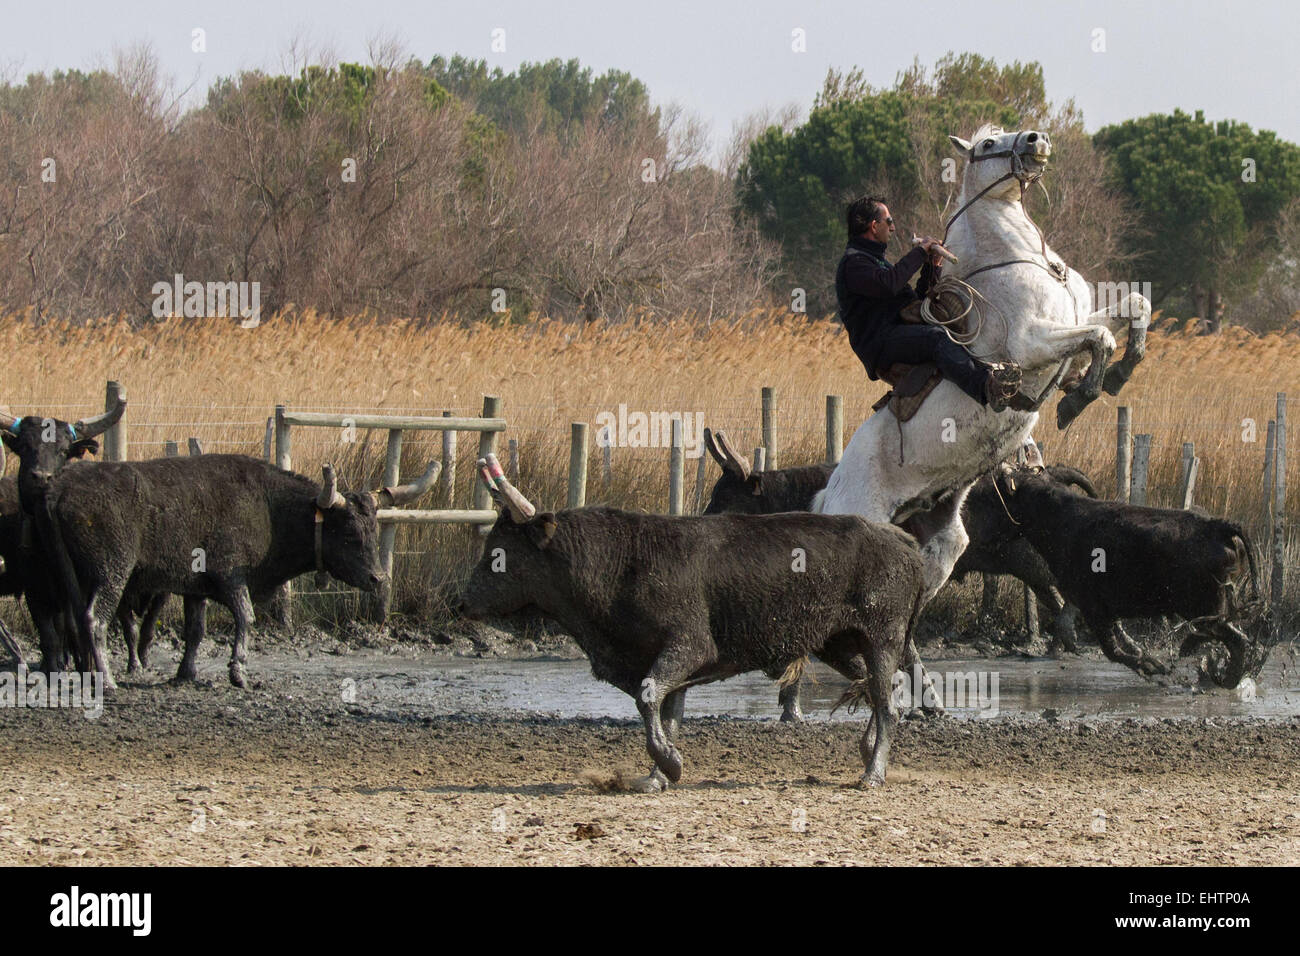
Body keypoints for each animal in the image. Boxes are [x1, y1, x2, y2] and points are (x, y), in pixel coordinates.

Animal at [462, 455, 930, 790]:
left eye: (499, 553)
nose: (463, 601)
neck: (618, 564)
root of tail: (904, 542)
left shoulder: (689, 645)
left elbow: (649, 696)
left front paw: (671, 764)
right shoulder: (668, 663)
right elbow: (666, 712)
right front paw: (655, 776)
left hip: (883, 636)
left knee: (887, 702)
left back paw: (873, 774)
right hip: (838, 643)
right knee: (876, 688)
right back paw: (867, 750)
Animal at [821, 123, 1149, 616]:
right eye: (988, 144)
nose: (1036, 139)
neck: (1021, 259)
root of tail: (829, 493)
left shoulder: (1072, 322)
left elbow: (1133, 307)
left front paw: (1120, 372)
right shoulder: (1032, 342)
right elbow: (1100, 339)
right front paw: (1077, 398)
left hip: (940, 545)